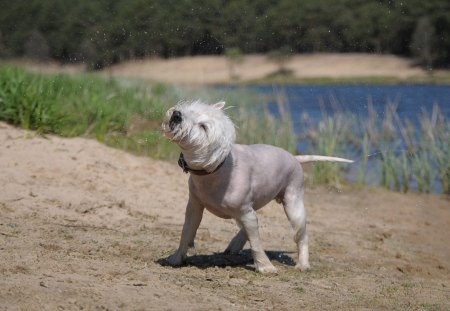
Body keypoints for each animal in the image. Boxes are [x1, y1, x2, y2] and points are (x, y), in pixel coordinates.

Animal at [160, 100, 354, 272]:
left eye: (203, 127)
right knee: (247, 227)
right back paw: (235, 244)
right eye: (190, 110)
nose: (177, 115)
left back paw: (303, 264)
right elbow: (186, 232)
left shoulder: (247, 213)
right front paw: (176, 258)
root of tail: (294, 157)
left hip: (293, 204)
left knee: (301, 234)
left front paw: (265, 267)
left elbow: (256, 243)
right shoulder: (194, 207)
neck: (216, 170)